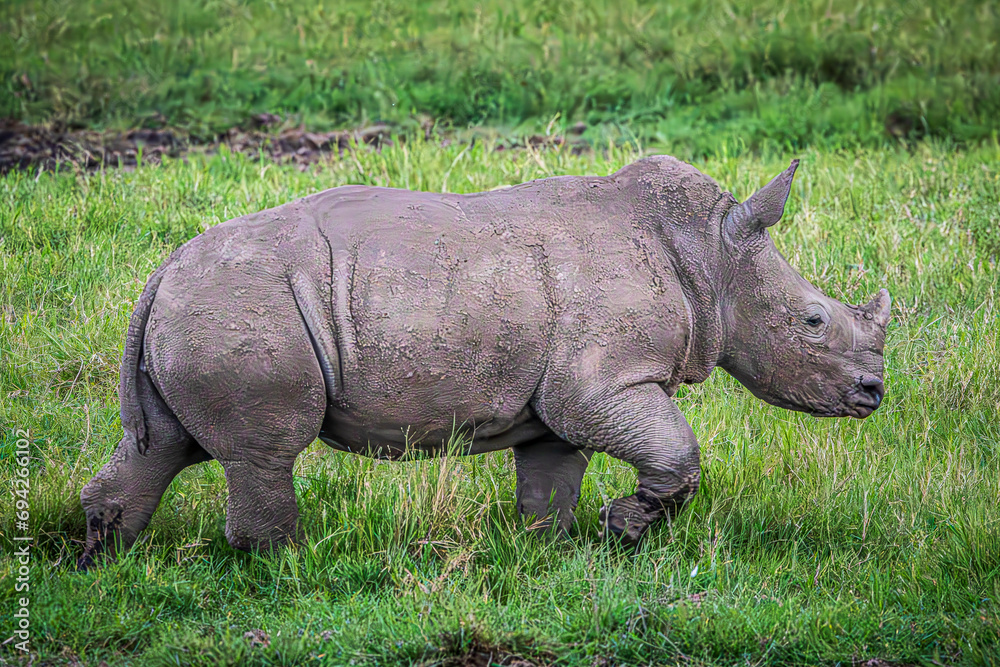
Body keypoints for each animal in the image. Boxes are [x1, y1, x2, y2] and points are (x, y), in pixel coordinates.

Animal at [78, 155, 890, 569]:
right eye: (814, 321)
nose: (874, 393)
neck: (712, 256)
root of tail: (162, 271)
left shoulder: (563, 399)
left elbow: (552, 477)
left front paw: (553, 551)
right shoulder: (603, 382)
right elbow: (676, 451)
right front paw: (623, 530)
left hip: (201, 304)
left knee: (160, 444)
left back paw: (100, 561)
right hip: (243, 301)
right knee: (262, 453)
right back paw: (291, 572)